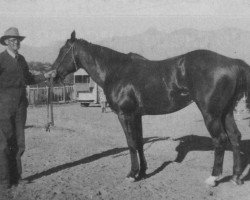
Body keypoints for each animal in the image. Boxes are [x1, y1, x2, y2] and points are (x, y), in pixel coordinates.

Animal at [51, 30, 250, 186]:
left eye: (63, 51)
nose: (51, 74)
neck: (116, 70)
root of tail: (233, 63)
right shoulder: (136, 115)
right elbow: (139, 141)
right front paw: (143, 172)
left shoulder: (124, 115)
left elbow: (131, 143)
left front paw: (132, 174)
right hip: (226, 112)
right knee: (235, 137)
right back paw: (236, 177)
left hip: (211, 114)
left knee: (220, 139)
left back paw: (213, 178)